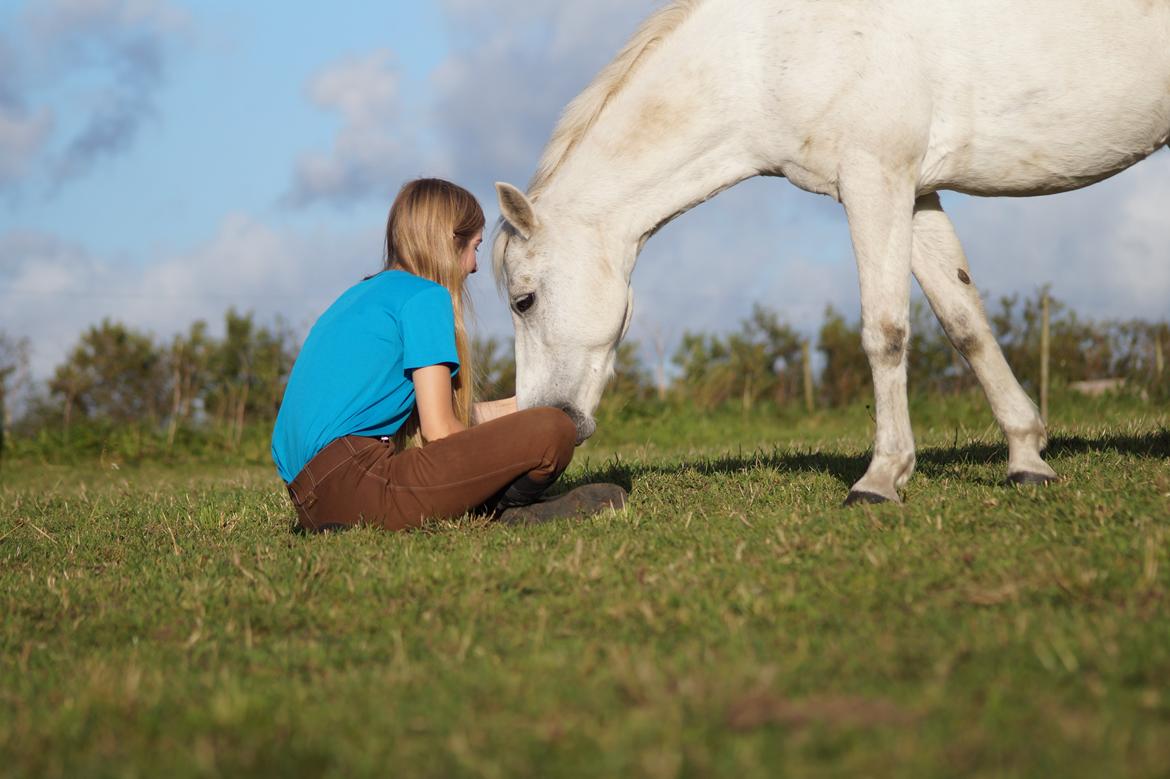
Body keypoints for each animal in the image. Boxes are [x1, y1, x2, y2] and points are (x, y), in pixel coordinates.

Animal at [491, 0, 1170, 502]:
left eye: (524, 301)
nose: (546, 418)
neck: (766, 50)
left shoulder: (874, 179)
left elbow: (885, 331)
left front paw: (881, 478)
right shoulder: (916, 192)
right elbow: (965, 324)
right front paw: (1027, 457)